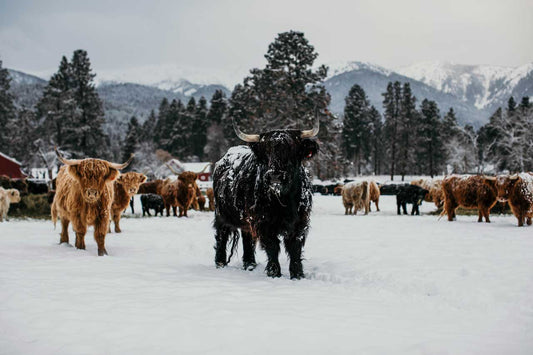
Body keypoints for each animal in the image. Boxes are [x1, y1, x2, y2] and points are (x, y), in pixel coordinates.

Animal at [212, 118, 318, 280]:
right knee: (221, 236)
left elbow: (294, 248)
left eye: (291, 148)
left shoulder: (300, 222)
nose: (275, 175)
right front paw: (274, 273)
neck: (283, 199)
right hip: (221, 214)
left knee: (247, 238)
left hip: (246, 219)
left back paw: (250, 264)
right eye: (267, 150)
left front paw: (297, 275)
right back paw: (220, 263)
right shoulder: (264, 222)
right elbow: (272, 246)